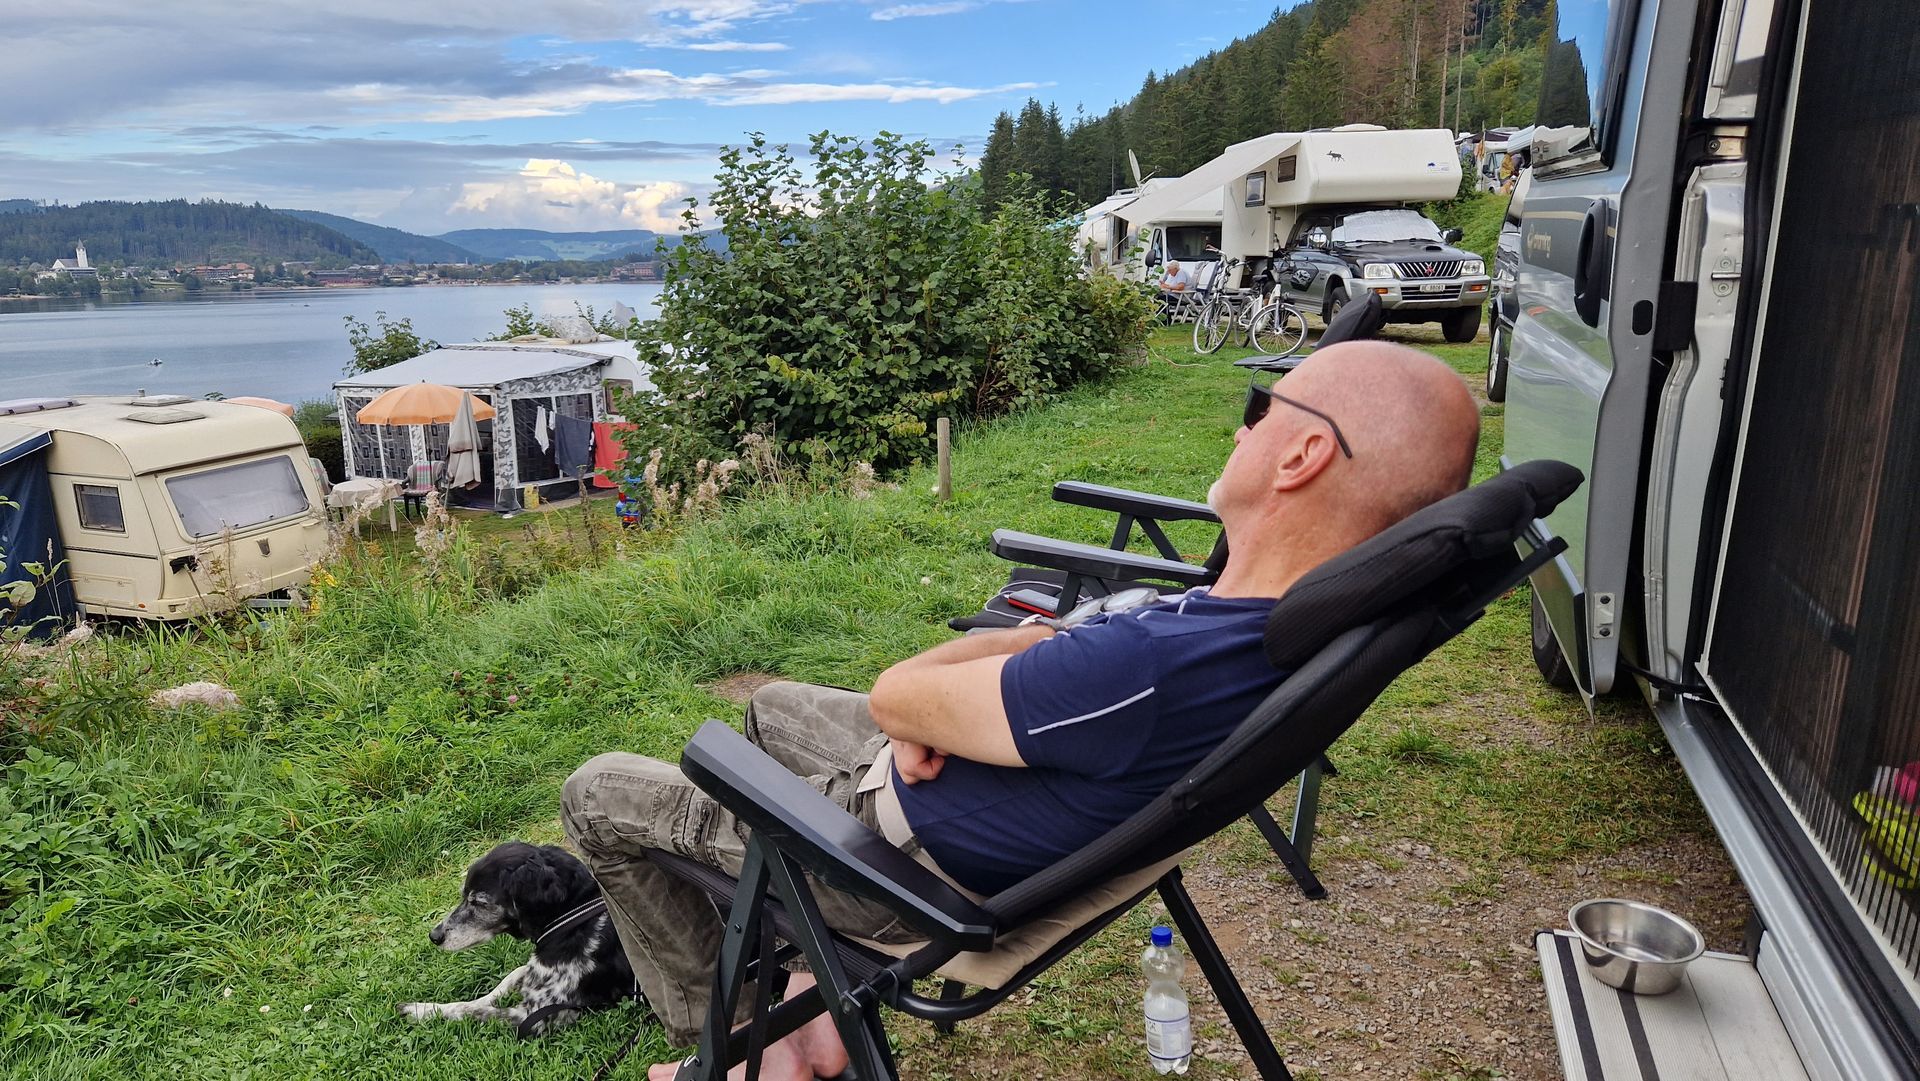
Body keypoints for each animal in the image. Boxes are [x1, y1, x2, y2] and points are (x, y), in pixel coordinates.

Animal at [399, 841, 640, 1035]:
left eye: (479, 902)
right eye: (463, 896)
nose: (434, 936)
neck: (575, 918)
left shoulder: (536, 1016)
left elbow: (469, 1010)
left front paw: (423, 1010)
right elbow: (505, 981)